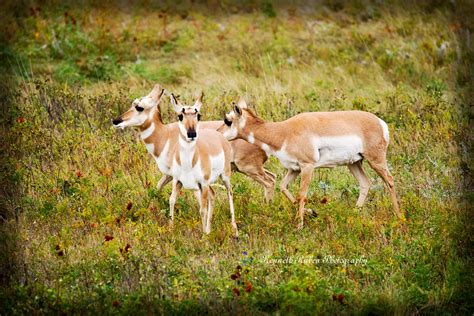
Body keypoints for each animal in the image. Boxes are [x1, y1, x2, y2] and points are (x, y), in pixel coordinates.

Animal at [111, 86, 274, 200]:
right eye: (133, 103)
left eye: (139, 107)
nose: (116, 121)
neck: (165, 134)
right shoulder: (169, 175)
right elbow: (157, 187)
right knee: (273, 177)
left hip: (249, 168)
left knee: (269, 183)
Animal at [168, 92, 239, 236]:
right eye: (180, 115)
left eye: (198, 115)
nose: (192, 134)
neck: (189, 164)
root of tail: (218, 135)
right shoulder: (177, 181)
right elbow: (172, 200)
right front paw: (170, 229)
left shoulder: (203, 184)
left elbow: (202, 209)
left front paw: (203, 237)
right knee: (213, 195)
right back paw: (209, 229)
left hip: (224, 177)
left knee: (229, 193)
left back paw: (234, 229)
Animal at [218, 97, 400, 228]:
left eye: (227, 120)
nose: (217, 133)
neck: (283, 132)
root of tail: (380, 122)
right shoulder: (294, 169)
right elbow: (284, 187)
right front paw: (311, 213)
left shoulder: (307, 167)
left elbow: (302, 194)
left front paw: (299, 225)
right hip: (354, 163)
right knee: (365, 183)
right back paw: (354, 214)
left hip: (375, 160)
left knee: (390, 180)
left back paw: (398, 217)